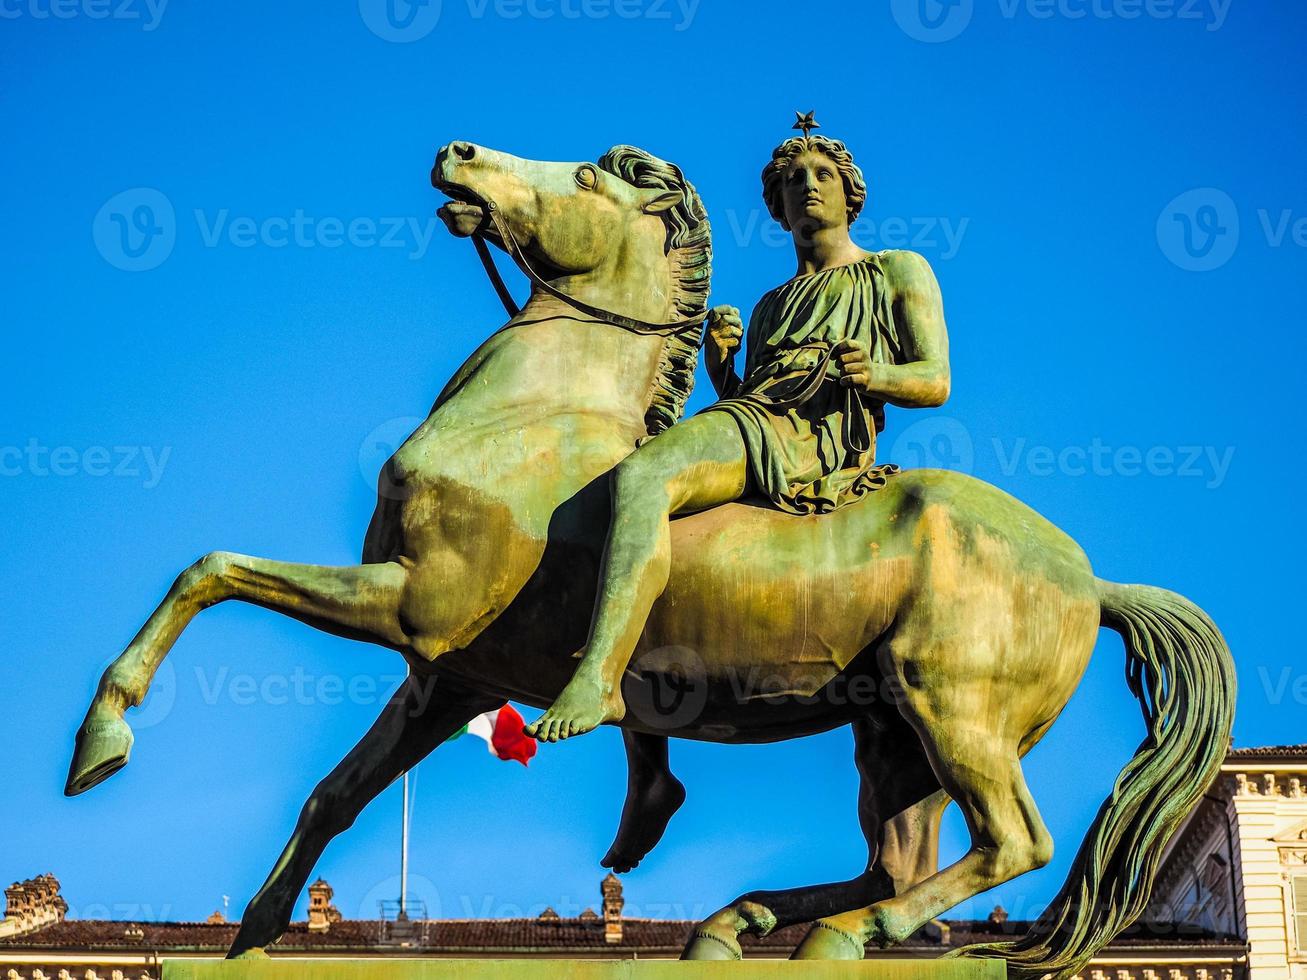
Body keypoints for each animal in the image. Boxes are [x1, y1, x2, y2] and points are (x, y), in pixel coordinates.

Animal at [66, 139, 1233, 980]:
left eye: (582, 176)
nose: (455, 151)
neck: (528, 416)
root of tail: (1090, 579)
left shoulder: (416, 608)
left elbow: (211, 569)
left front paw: (101, 740)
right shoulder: (450, 676)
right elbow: (331, 794)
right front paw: (252, 932)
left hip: (953, 705)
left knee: (1012, 842)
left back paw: (838, 929)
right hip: (889, 734)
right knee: (896, 854)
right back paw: (749, 922)